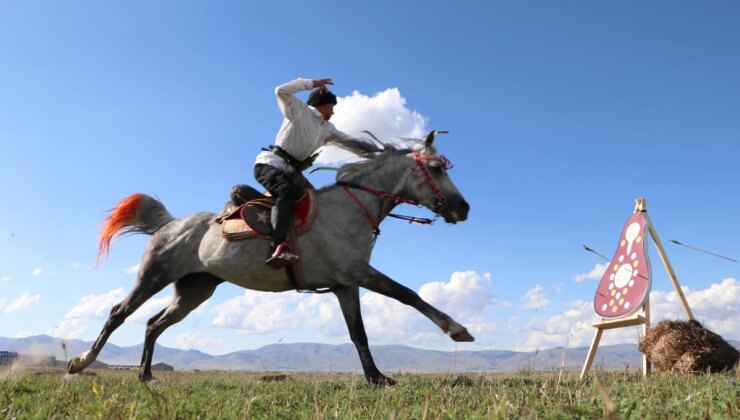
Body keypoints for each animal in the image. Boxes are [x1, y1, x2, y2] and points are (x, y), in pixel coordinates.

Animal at [69, 130, 474, 386]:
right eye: (435, 168)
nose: (463, 207)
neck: (351, 208)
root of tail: (169, 224)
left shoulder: (346, 284)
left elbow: (358, 333)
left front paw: (376, 378)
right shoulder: (359, 272)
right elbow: (408, 294)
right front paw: (457, 329)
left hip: (194, 290)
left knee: (154, 324)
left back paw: (145, 375)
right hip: (153, 276)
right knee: (118, 314)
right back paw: (81, 362)